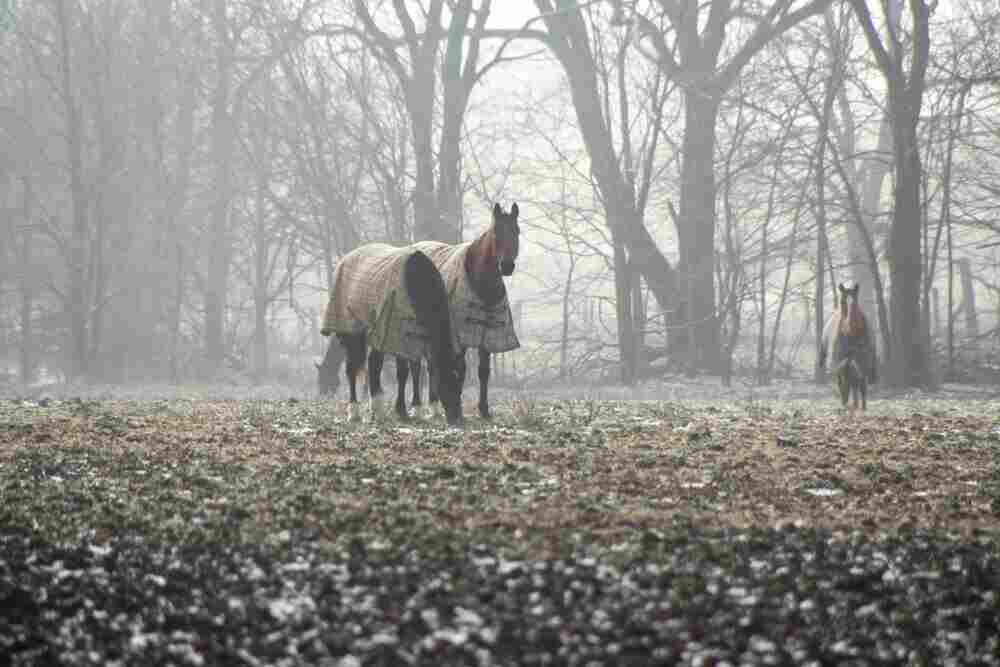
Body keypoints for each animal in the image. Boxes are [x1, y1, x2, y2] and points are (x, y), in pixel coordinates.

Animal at [319, 244, 464, 425]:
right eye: (447, 380)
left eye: (460, 384)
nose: (458, 419)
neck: (416, 282)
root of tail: (346, 258)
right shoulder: (398, 336)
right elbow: (403, 372)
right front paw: (403, 409)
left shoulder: (413, 338)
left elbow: (412, 371)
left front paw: (412, 409)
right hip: (354, 332)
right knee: (353, 368)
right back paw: (356, 411)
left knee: (372, 365)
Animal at [410, 202, 521, 419]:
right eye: (496, 232)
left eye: (517, 231)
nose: (506, 266)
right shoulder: (460, 335)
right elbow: (460, 369)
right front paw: (457, 407)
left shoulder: (488, 333)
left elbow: (483, 371)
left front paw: (484, 409)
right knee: (415, 364)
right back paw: (416, 406)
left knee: (431, 365)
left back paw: (434, 407)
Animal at [819, 280, 877, 412]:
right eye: (842, 301)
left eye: (856, 300)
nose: (851, 323)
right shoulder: (839, 360)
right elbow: (844, 384)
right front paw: (846, 404)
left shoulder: (862, 359)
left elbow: (861, 383)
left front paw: (862, 407)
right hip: (842, 363)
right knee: (846, 382)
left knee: (855, 382)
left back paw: (855, 404)